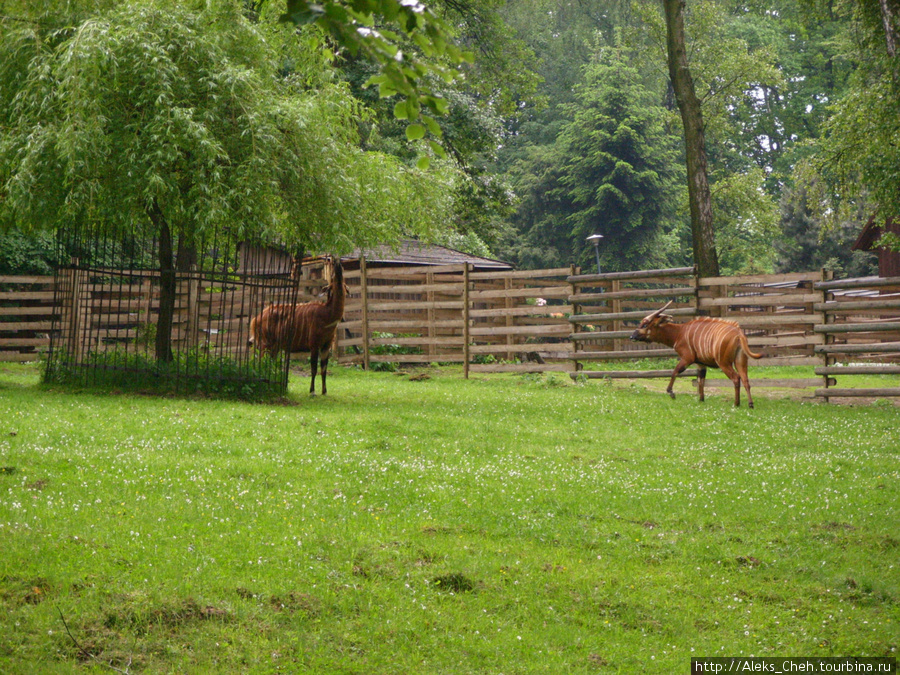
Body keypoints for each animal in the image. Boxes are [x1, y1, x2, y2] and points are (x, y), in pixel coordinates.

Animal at [251, 258, 346, 396]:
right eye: (333, 278)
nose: (338, 263)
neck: (327, 316)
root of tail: (255, 319)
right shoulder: (314, 345)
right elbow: (313, 368)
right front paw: (312, 391)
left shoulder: (326, 346)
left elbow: (323, 368)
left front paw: (324, 391)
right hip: (265, 344)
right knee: (260, 361)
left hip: (274, 346)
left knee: (269, 362)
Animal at [628, 304, 764, 410]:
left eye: (645, 325)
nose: (632, 336)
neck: (679, 333)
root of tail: (739, 334)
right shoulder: (700, 364)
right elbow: (700, 380)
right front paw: (701, 400)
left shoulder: (687, 358)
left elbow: (675, 371)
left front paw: (671, 393)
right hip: (740, 361)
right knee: (746, 380)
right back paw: (750, 404)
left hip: (723, 363)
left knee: (736, 378)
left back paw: (736, 404)